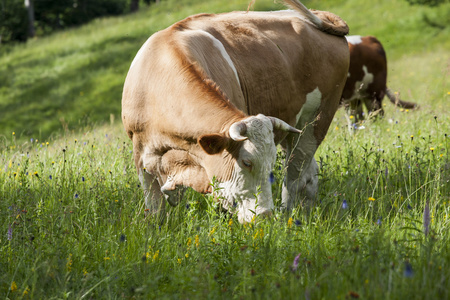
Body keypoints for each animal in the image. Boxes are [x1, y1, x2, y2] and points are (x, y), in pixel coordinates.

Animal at [121, 0, 350, 223]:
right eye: (246, 162)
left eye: (270, 163)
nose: (264, 216)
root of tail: (319, 14)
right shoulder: (142, 158)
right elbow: (155, 212)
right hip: (293, 132)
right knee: (308, 173)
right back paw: (305, 212)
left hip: (317, 121)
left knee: (295, 176)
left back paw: (287, 214)